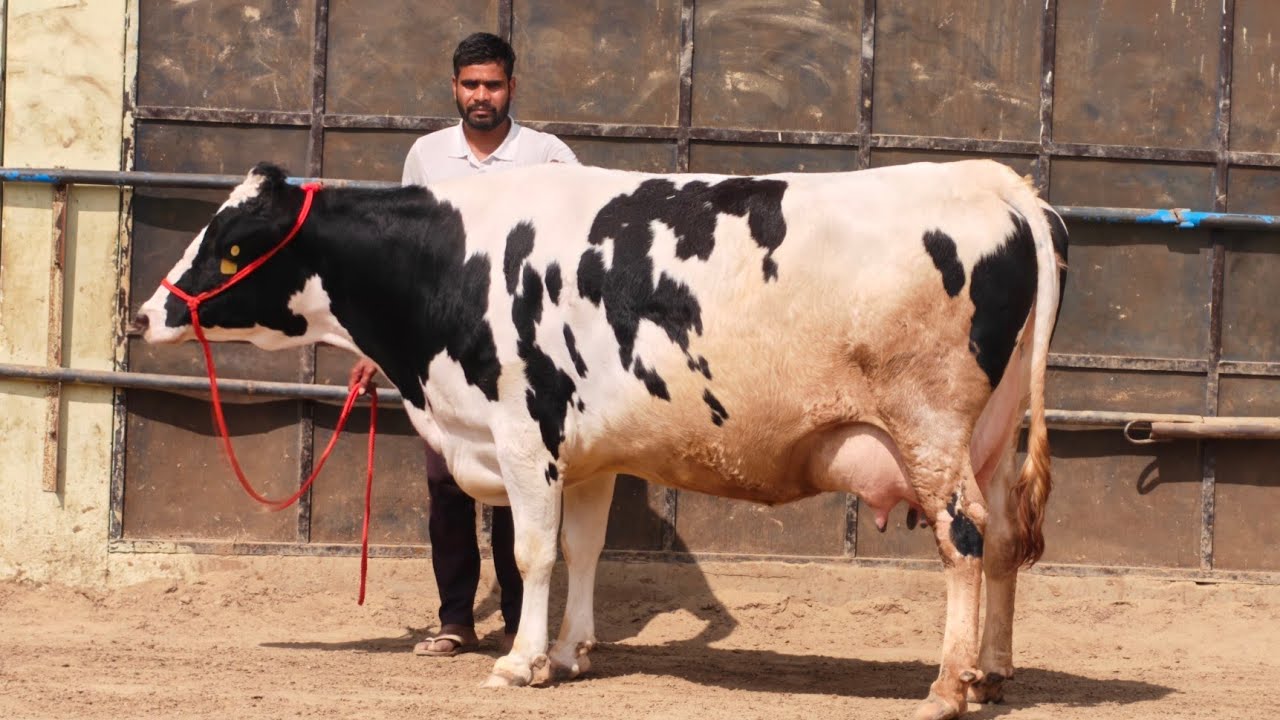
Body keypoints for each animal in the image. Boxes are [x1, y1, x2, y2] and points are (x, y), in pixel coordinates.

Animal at [136, 159, 1067, 720]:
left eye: (229, 247)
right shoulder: (585, 452)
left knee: (965, 539)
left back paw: (946, 687)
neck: (453, 261)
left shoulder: (524, 431)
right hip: (990, 436)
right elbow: (583, 550)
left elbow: (533, 552)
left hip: (931, 429)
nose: (146, 313)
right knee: (1002, 542)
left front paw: (519, 662)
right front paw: (570, 653)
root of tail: (996, 182)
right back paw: (991, 673)